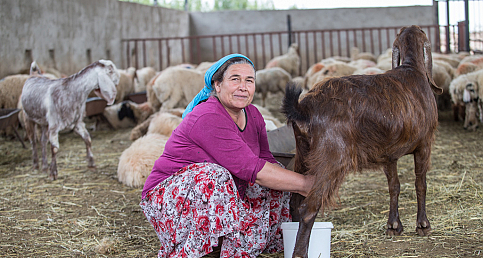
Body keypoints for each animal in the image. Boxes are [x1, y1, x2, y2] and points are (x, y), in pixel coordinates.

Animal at [282, 24, 444, 258]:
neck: (412, 69)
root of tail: (304, 108)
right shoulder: (424, 144)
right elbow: (420, 183)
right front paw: (423, 225)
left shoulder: (389, 154)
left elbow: (394, 186)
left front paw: (393, 226)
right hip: (332, 156)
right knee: (308, 207)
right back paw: (300, 252)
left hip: (303, 153)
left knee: (295, 202)